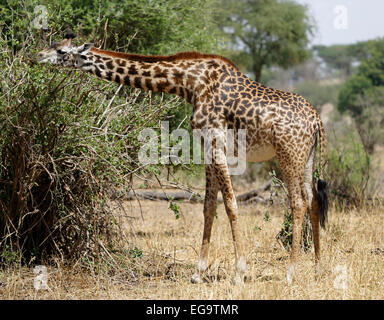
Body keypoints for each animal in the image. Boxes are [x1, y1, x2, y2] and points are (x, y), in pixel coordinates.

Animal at [37, 33, 328, 284]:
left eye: (61, 50)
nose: (38, 56)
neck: (190, 84)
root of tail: (316, 119)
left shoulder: (216, 143)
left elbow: (231, 205)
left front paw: (239, 273)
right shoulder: (207, 148)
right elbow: (209, 207)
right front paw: (198, 272)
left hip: (288, 155)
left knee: (298, 202)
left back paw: (291, 272)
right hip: (306, 157)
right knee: (313, 199)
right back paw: (316, 268)